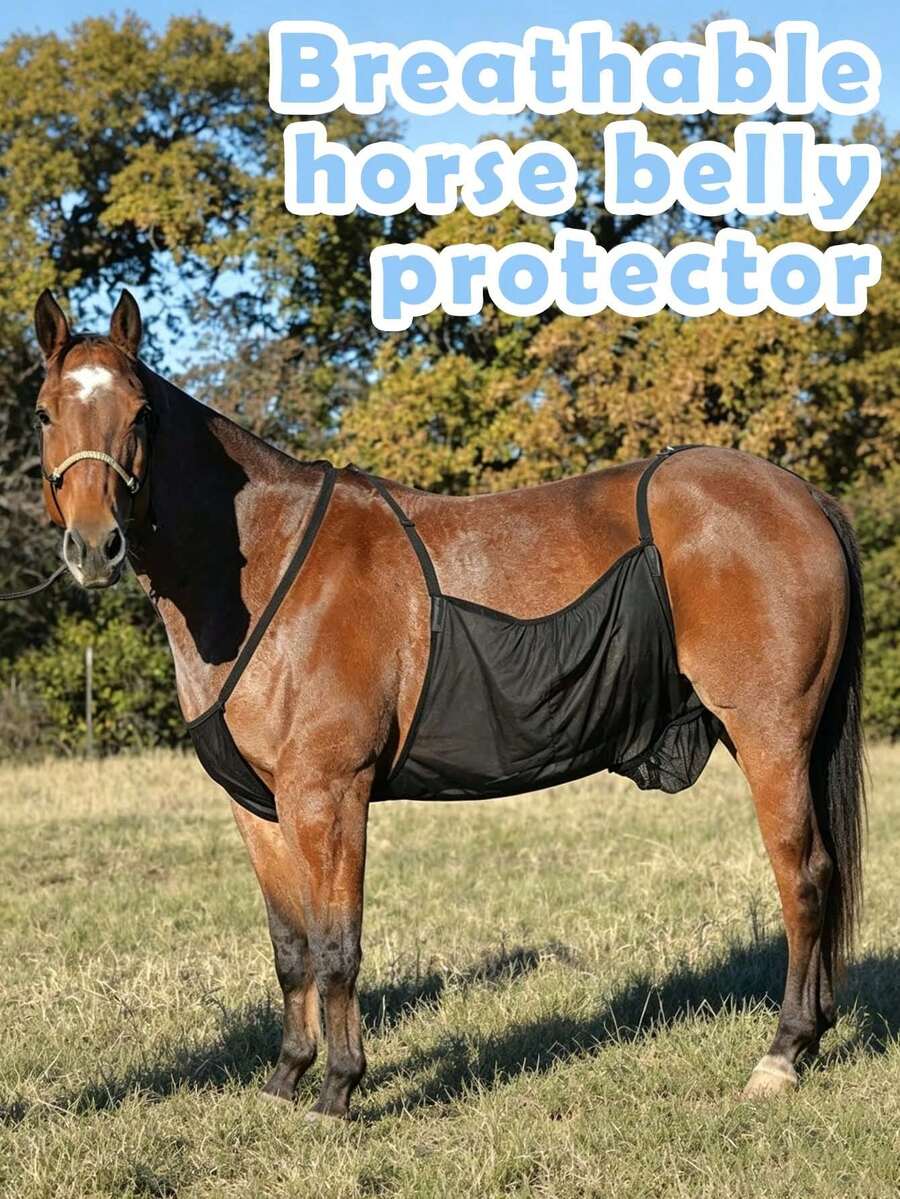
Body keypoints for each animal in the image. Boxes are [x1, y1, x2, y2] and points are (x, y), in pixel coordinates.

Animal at [27, 288, 865, 1120]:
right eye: (43, 412)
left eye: (141, 414)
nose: (94, 546)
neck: (269, 568)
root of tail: (800, 494)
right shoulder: (259, 806)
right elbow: (291, 947)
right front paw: (286, 1077)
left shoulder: (328, 793)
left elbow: (337, 946)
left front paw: (339, 1088)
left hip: (770, 733)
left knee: (804, 875)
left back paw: (781, 1053)